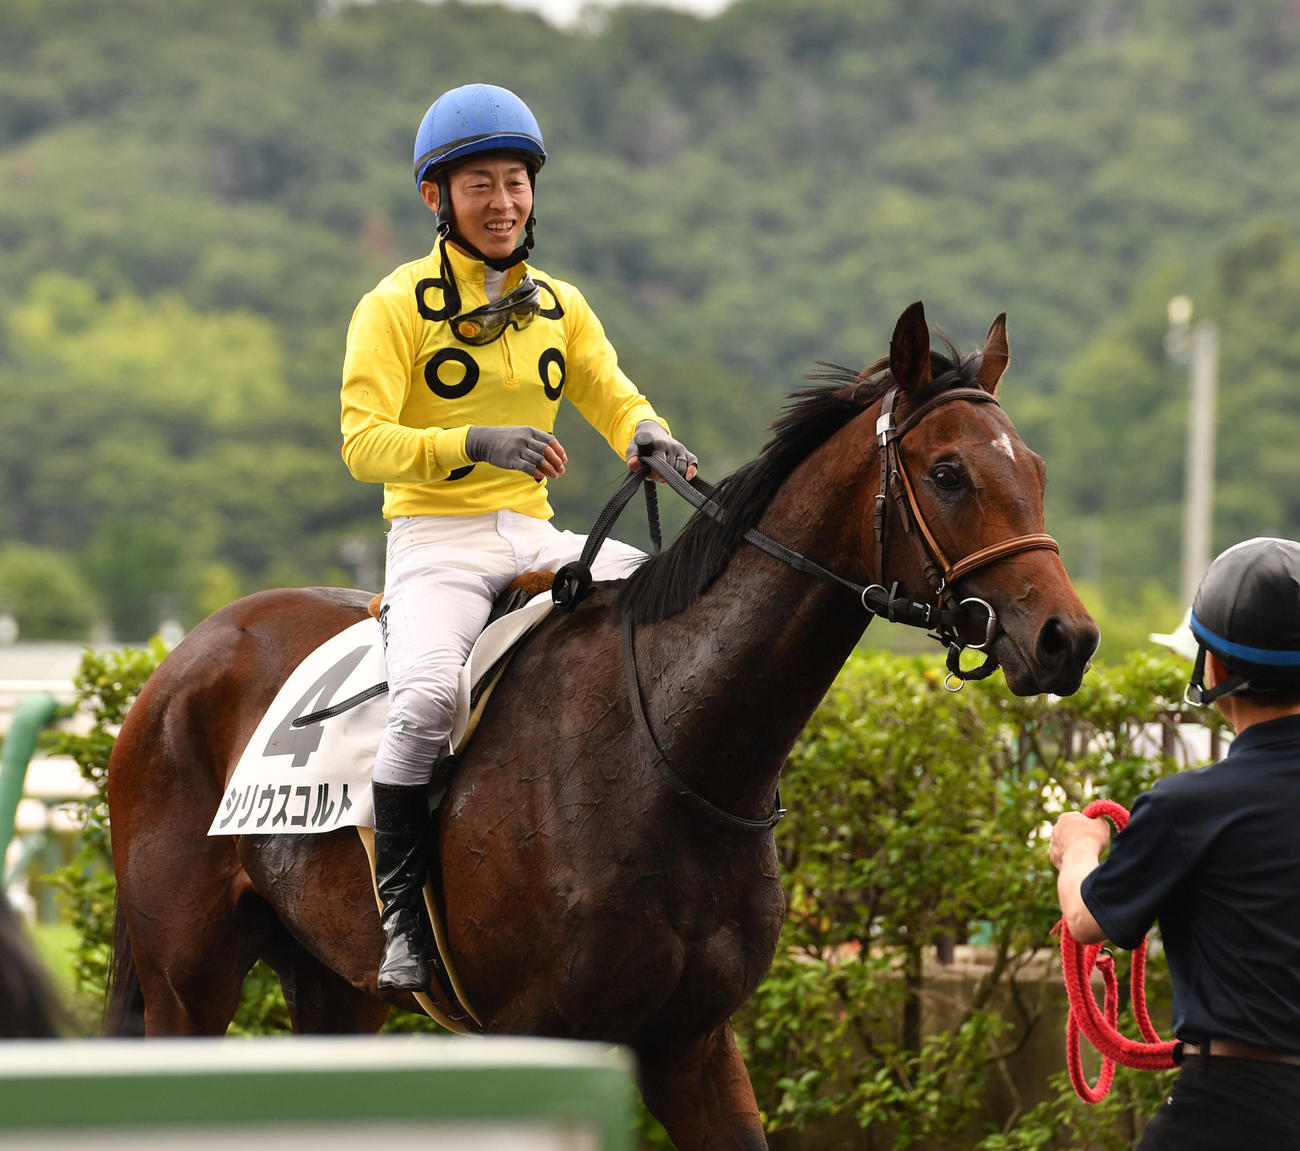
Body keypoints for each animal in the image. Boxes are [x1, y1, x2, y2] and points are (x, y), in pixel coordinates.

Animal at [105, 301, 1098, 1149]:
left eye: (1039, 471)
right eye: (949, 472)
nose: (1068, 638)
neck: (672, 752)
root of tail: (178, 663)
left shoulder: (693, 1042)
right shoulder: (537, 1036)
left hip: (335, 990)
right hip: (188, 987)